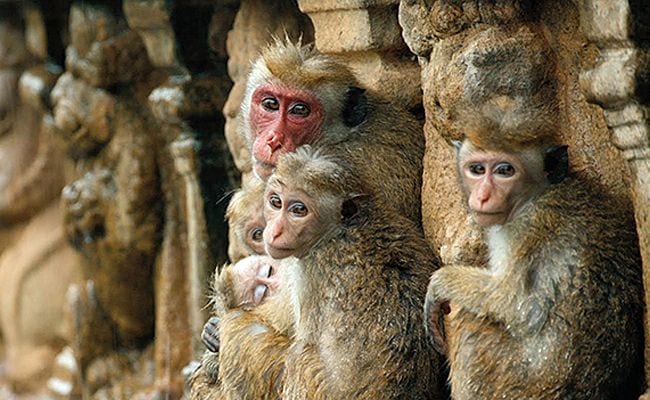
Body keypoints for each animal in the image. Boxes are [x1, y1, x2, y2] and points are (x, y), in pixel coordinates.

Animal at [262, 146, 445, 399]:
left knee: (298, 356)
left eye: (299, 210)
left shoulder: (311, 273)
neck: (340, 230)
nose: (274, 231)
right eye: (275, 202)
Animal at [424, 129, 645, 399]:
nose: (482, 196)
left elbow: (516, 305)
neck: (536, 195)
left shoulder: (524, 230)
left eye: (505, 170)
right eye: (477, 169)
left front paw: (440, 283)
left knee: (468, 319)